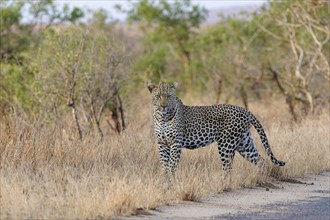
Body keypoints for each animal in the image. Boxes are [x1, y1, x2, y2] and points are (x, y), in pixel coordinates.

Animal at [148, 81, 284, 175]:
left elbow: (171, 165)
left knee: (227, 168)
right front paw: (165, 180)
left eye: (169, 96)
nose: (163, 106)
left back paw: (224, 184)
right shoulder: (162, 143)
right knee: (260, 160)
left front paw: (170, 182)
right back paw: (261, 178)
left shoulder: (176, 143)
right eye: (158, 96)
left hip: (226, 144)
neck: (162, 117)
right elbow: (164, 165)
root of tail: (245, 110)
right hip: (244, 144)